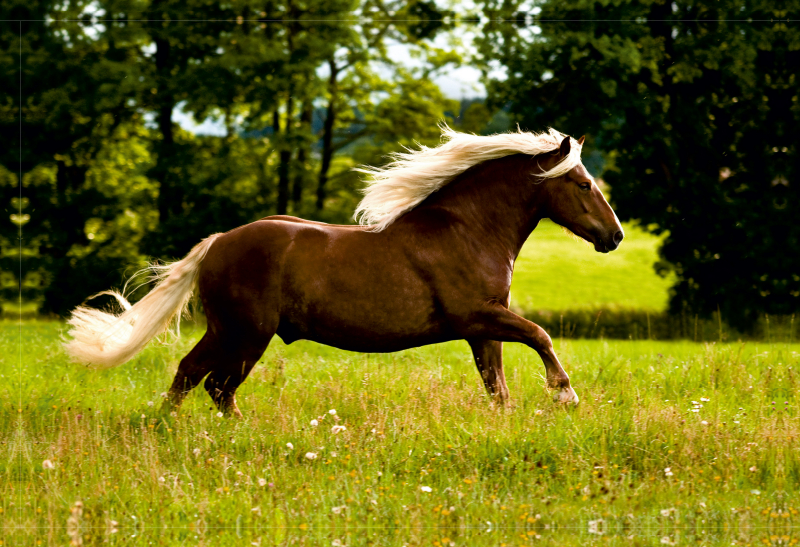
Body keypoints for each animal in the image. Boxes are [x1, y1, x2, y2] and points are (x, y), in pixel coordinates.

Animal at [64, 126, 624, 418]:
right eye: (581, 182)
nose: (614, 235)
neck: (466, 230)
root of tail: (219, 242)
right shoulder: (476, 316)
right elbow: (540, 335)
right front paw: (566, 393)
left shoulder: (483, 327)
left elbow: (497, 386)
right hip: (246, 332)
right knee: (211, 383)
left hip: (230, 331)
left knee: (194, 377)